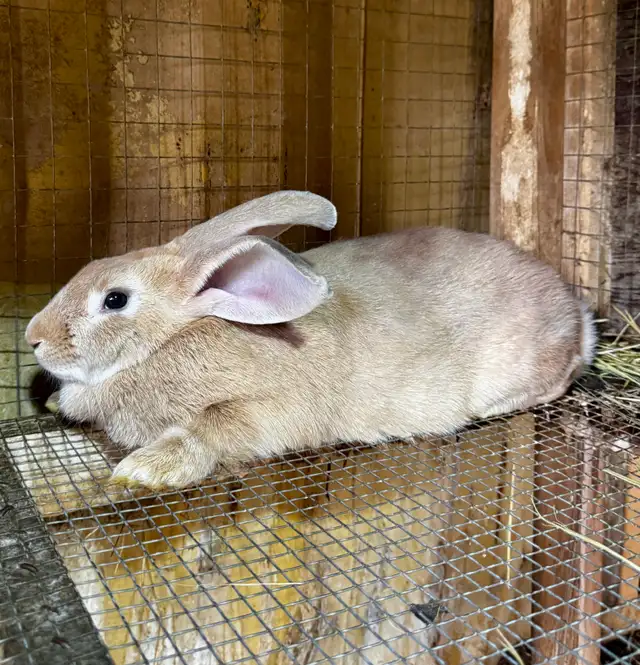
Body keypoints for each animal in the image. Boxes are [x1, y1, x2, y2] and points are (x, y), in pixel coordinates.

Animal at [25, 190, 597, 490]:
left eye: (114, 300)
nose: (33, 338)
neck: (180, 334)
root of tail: (581, 318)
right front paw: (55, 402)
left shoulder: (264, 408)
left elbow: (208, 430)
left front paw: (143, 471)